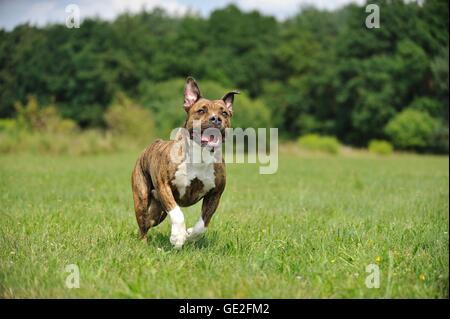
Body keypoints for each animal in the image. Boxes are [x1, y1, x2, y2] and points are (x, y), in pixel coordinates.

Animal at [131, 77, 239, 250]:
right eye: (201, 111)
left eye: (224, 113)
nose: (216, 118)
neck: (199, 155)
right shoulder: (164, 186)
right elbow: (177, 213)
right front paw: (178, 237)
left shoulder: (215, 194)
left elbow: (203, 223)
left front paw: (189, 234)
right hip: (141, 198)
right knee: (143, 225)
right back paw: (144, 244)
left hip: (158, 211)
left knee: (149, 221)